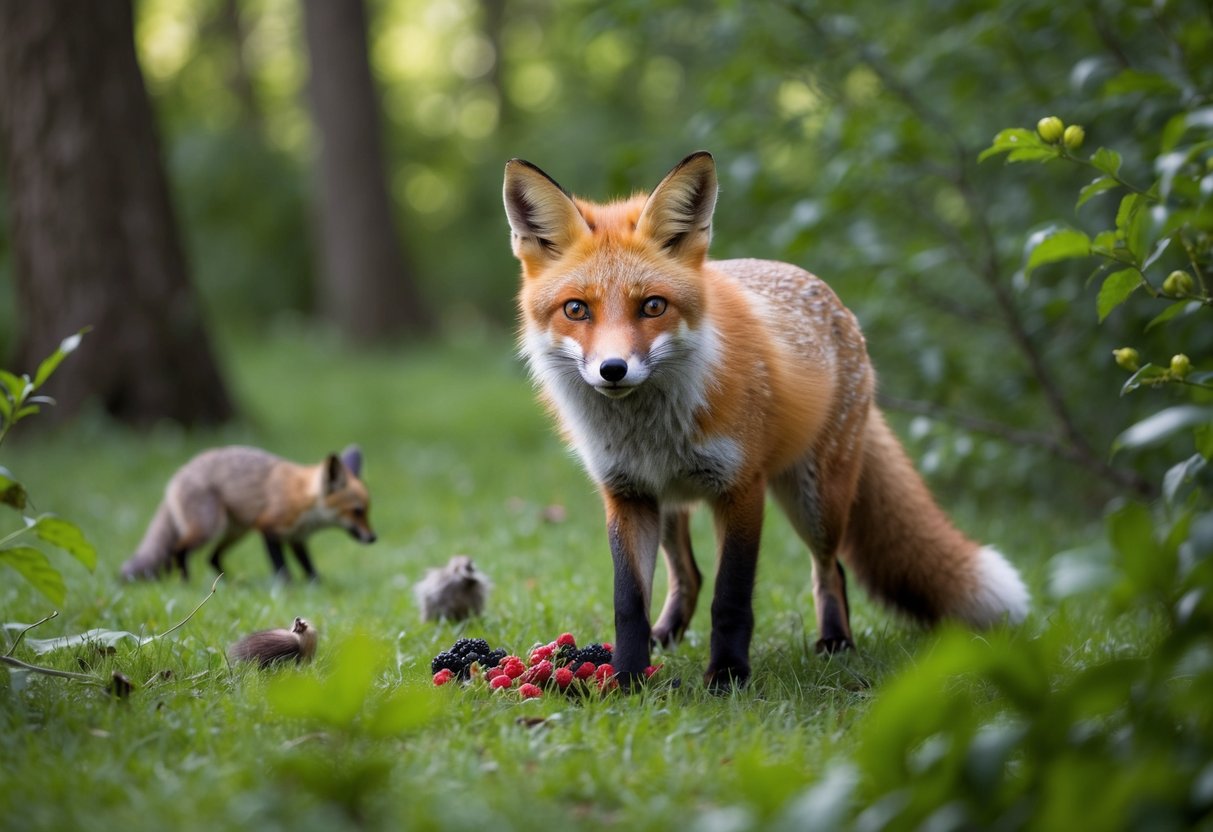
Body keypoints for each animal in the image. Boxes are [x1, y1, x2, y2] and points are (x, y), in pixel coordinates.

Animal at [120, 445, 376, 581]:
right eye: (357, 511)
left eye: (367, 510)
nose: (374, 537)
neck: (302, 501)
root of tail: (179, 473)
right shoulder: (268, 528)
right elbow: (281, 566)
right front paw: (287, 586)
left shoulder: (297, 538)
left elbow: (309, 566)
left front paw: (316, 584)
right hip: (209, 527)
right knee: (179, 549)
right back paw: (186, 581)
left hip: (236, 532)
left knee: (212, 557)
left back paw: (228, 583)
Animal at [502, 151, 1030, 689]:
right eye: (576, 309)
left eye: (652, 306)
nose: (613, 369)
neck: (651, 430)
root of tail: (832, 300)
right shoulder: (626, 495)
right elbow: (629, 603)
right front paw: (628, 679)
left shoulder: (741, 488)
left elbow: (731, 598)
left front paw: (727, 675)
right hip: (671, 507)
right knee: (688, 576)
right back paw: (665, 635)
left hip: (816, 502)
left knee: (830, 570)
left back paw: (835, 641)